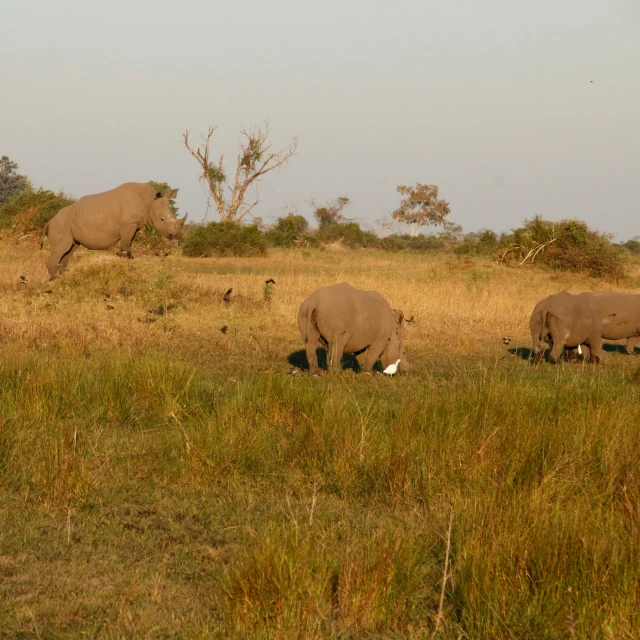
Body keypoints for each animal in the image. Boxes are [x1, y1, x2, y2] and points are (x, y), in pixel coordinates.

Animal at [40, 181, 186, 278]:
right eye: (162, 219)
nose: (176, 236)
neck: (149, 200)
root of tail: (49, 222)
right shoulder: (129, 223)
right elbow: (126, 242)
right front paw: (125, 257)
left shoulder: (135, 225)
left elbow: (129, 242)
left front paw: (128, 257)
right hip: (60, 224)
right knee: (61, 250)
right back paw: (55, 281)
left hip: (68, 223)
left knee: (69, 250)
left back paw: (64, 278)